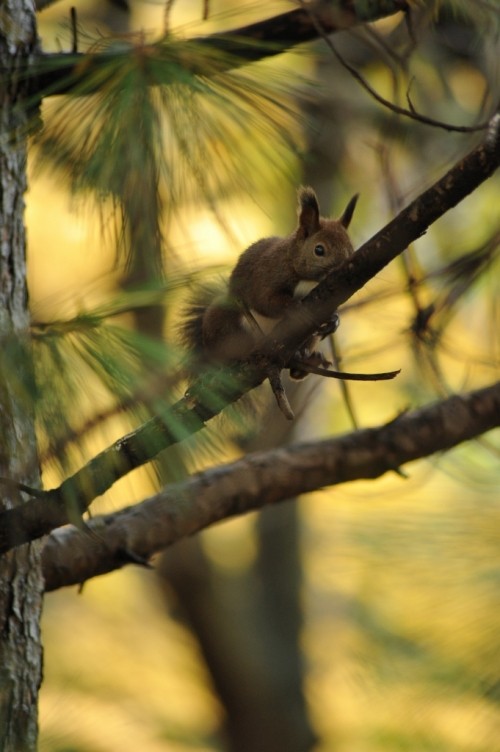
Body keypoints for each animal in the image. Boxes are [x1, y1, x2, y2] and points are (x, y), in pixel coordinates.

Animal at [182, 185, 358, 378]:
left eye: (351, 249)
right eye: (319, 250)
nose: (343, 266)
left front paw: (334, 320)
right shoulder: (267, 275)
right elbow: (265, 300)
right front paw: (295, 307)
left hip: (310, 338)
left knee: (296, 369)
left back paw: (308, 361)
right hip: (222, 323)